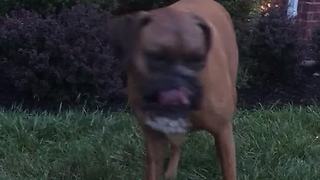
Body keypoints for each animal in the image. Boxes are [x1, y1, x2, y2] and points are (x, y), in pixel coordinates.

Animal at [110, 0, 238, 180]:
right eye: (156, 57)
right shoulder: (154, 140)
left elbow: (229, 169)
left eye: (198, 59)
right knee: (176, 145)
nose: (180, 78)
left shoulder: (223, 130)